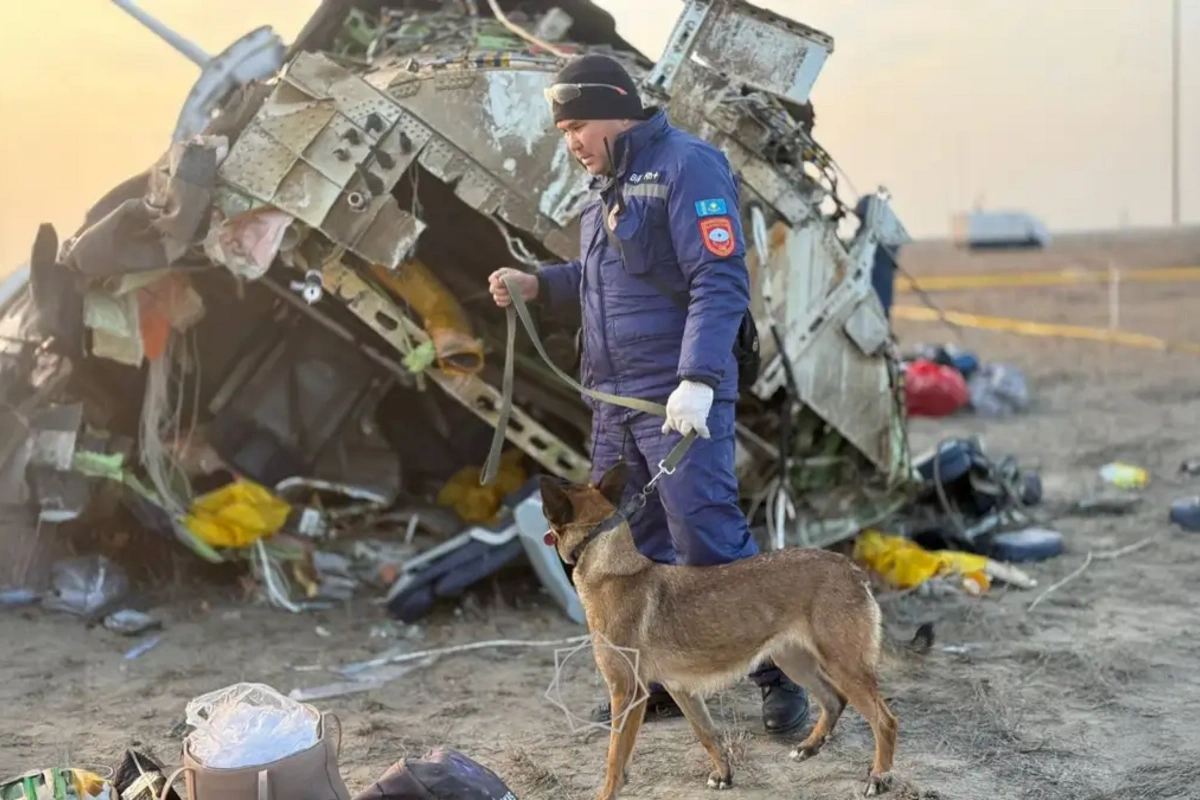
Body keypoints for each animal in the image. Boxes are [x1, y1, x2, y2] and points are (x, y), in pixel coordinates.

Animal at [540, 460, 931, 796]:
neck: (610, 563)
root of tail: (851, 569)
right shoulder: (682, 689)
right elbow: (707, 734)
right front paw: (724, 774)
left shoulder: (627, 693)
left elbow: (614, 760)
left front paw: (607, 793)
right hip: (796, 661)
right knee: (834, 700)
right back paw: (809, 747)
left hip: (843, 665)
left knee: (884, 721)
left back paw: (879, 777)